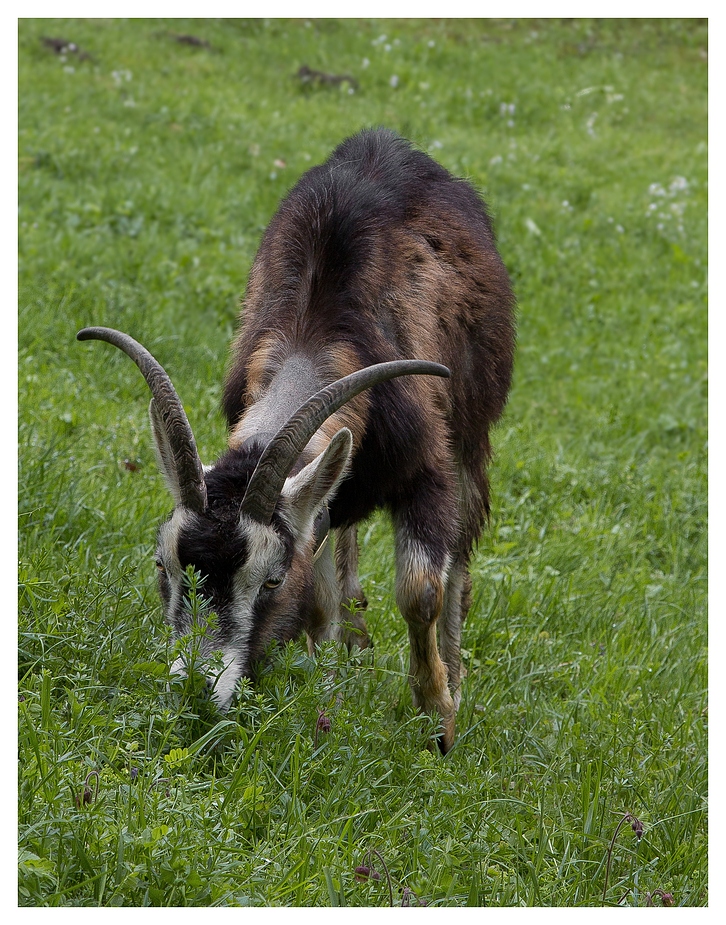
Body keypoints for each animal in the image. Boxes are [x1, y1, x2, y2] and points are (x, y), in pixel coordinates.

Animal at [77, 128, 516, 752]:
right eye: (165, 568)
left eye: (272, 580)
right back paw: (352, 640)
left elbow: (420, 589)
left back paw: (451, 673)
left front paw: (438, 719)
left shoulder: (426, 469)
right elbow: (320, 597)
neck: (317, 325)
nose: (197, 694)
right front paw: (325, 693)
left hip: (473, 432)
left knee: (460, 553)